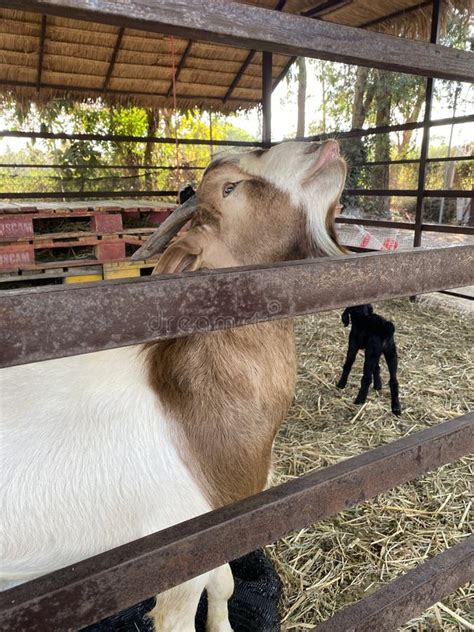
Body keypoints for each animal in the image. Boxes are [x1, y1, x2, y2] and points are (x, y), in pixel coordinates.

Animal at [1, 141, 346, 628]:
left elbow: (225, 583)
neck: (181, 411)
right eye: (230, 188)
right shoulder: (176, 563)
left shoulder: (216, 528)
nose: (325, 148)